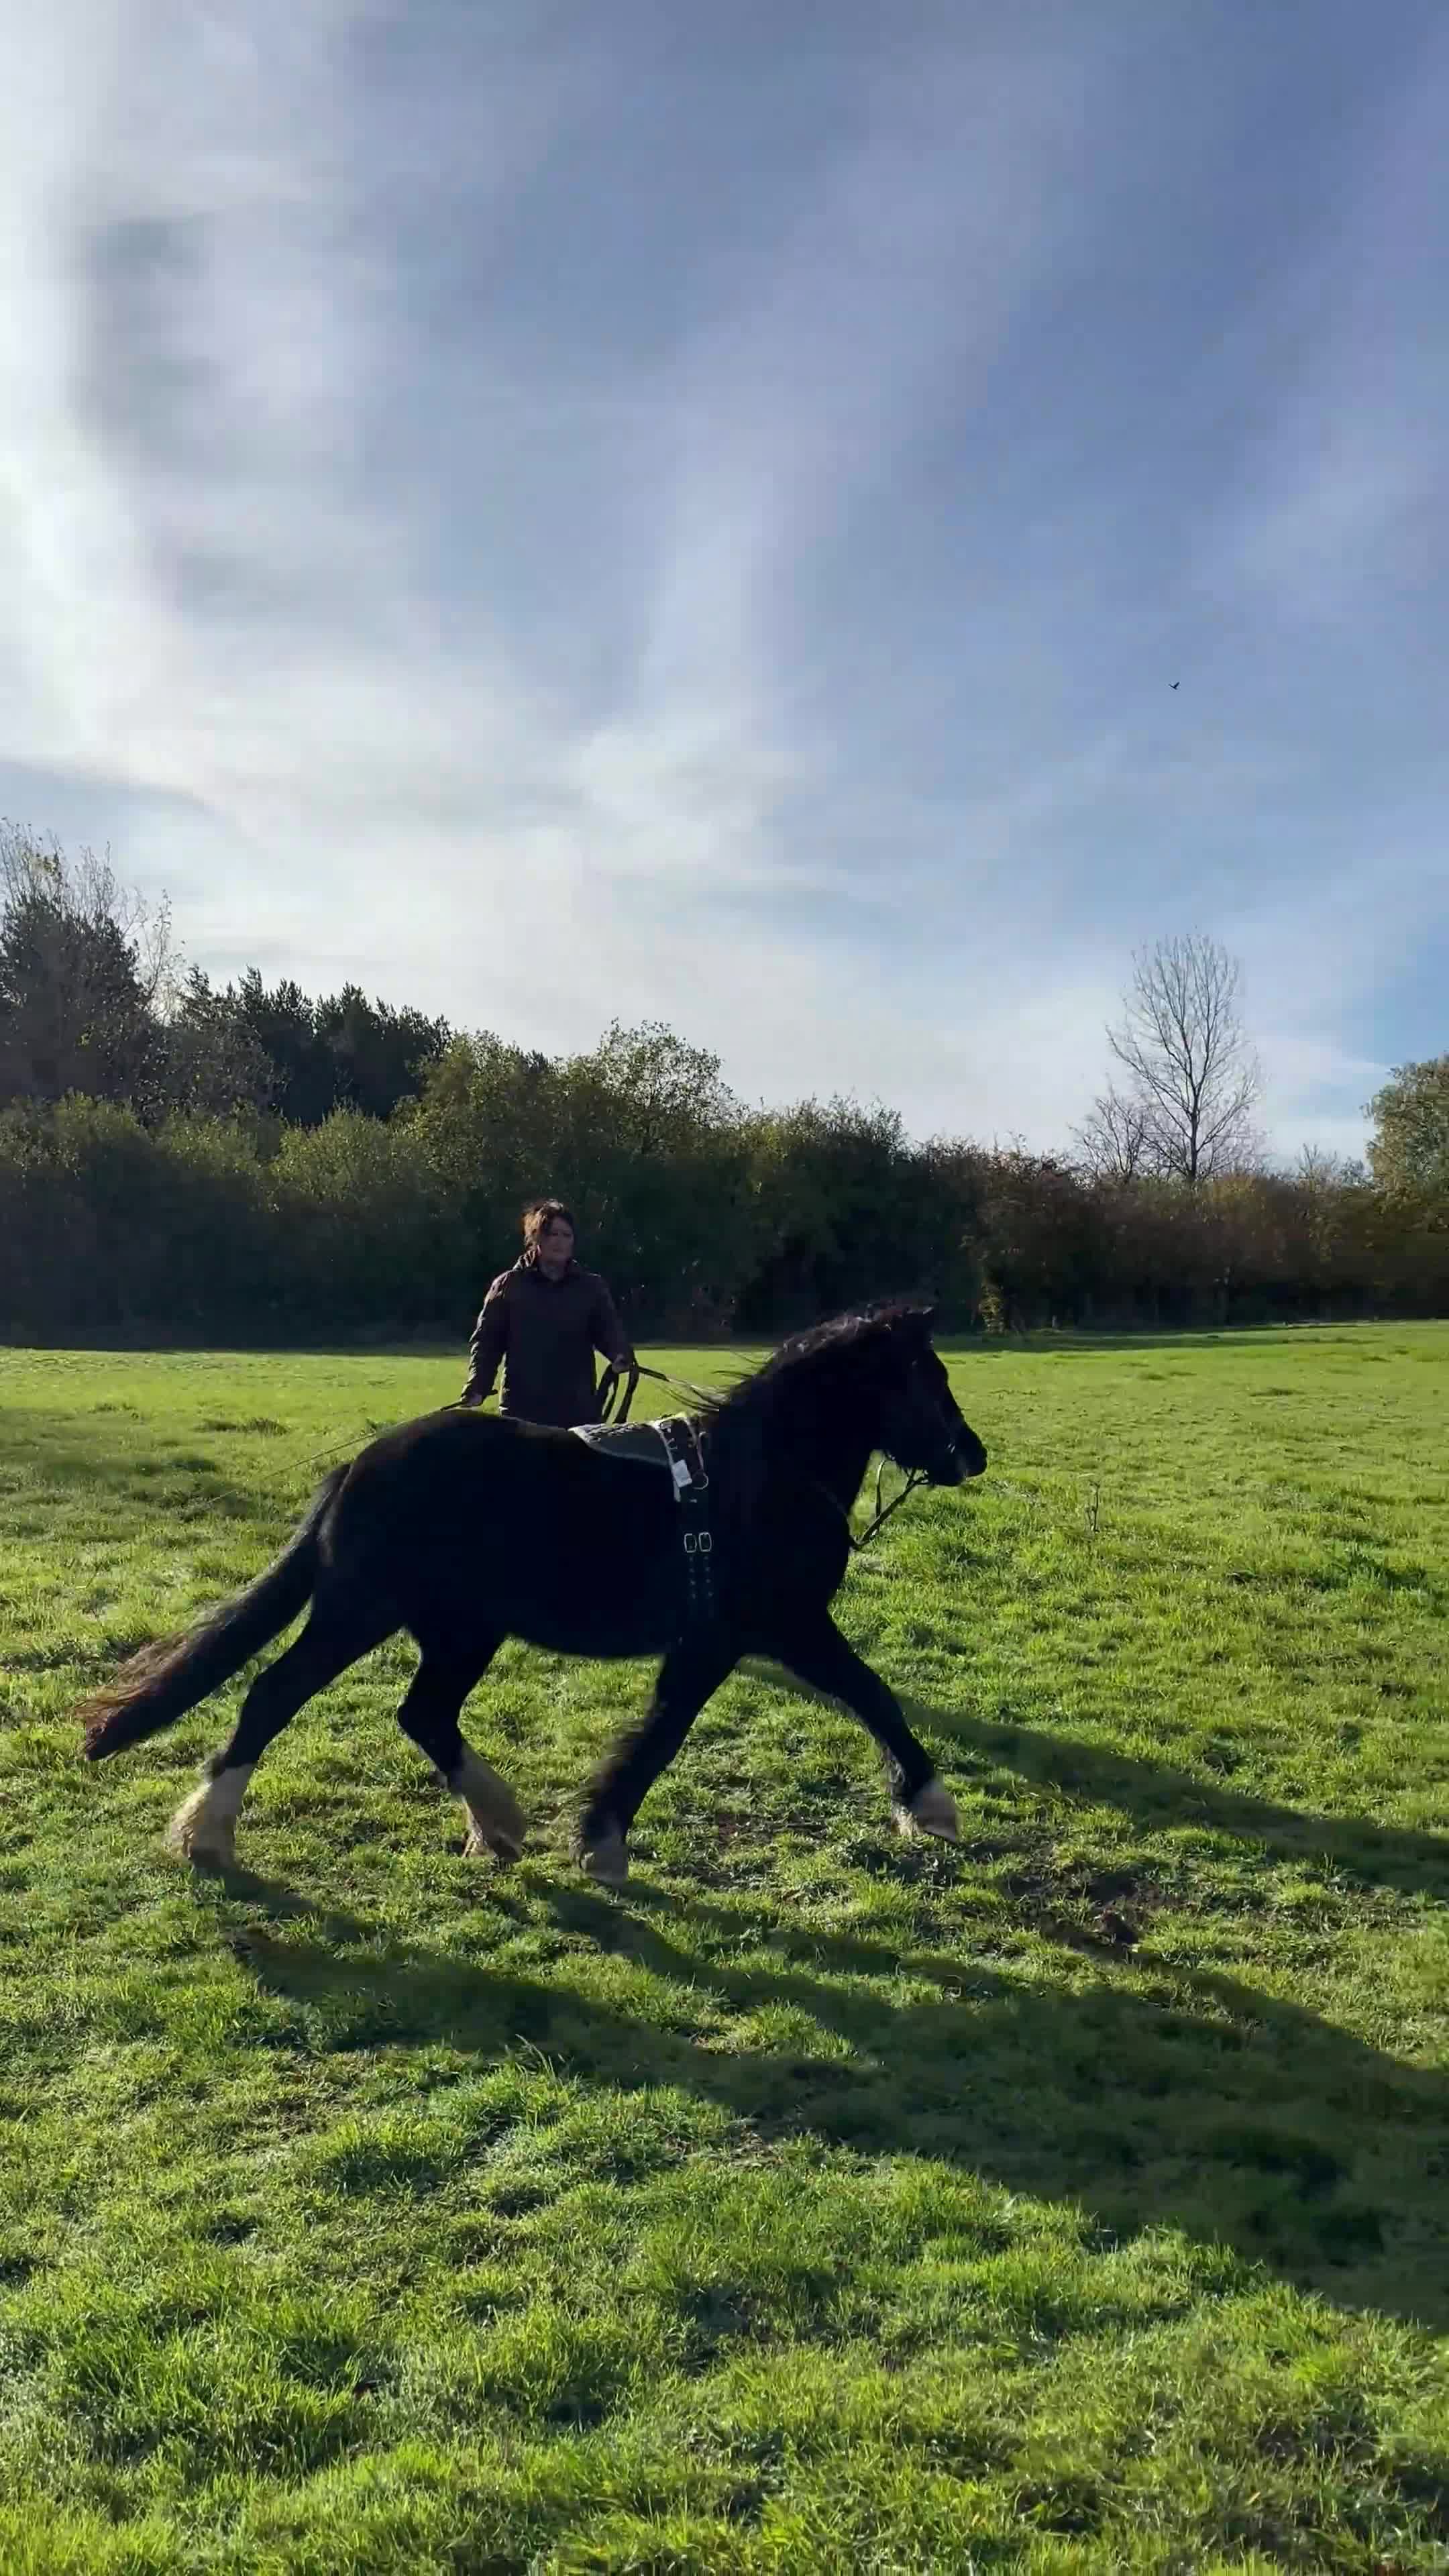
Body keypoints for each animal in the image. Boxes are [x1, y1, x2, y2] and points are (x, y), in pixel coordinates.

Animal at [76, 1302, 987, 1886]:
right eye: (925, 1375)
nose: (971, 1454)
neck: (760, 1477)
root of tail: (357, 1468)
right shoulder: (768, 1629)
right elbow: (857, 1695)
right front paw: (931, 1806)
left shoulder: (735, 1639)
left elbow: (686, 1723)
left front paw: (596, 1838)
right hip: (361, 1612)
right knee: (275, 1694)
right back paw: (208, 1835)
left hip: (462, 1630)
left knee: (424, 1714)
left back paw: (498, 1825)